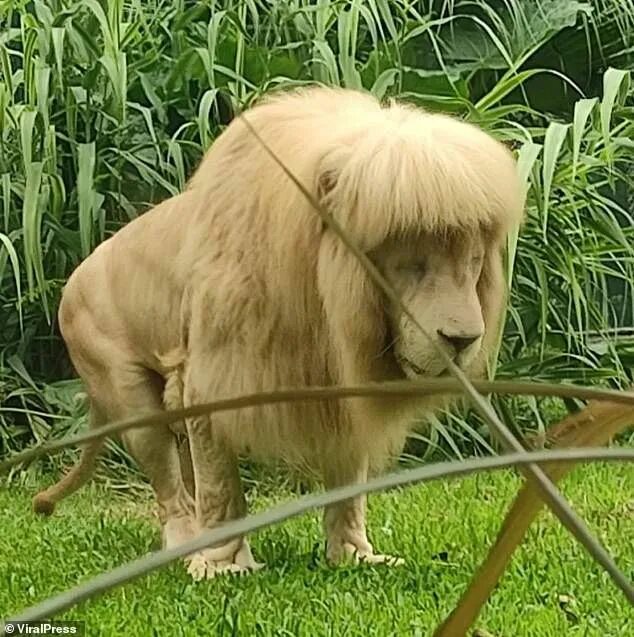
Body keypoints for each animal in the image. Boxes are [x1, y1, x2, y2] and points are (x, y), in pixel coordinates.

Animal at [32, 84, 520, 576]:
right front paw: (224, 567)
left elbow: (349, 483)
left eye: (473, 263)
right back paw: (186, 548)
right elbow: (221, 486)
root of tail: (69, 285)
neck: (324, 304)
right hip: (128, 391)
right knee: (171, 487)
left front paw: (354, 556)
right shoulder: (212, 379)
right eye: (412, 266)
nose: (463, 340)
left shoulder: (342, 389)